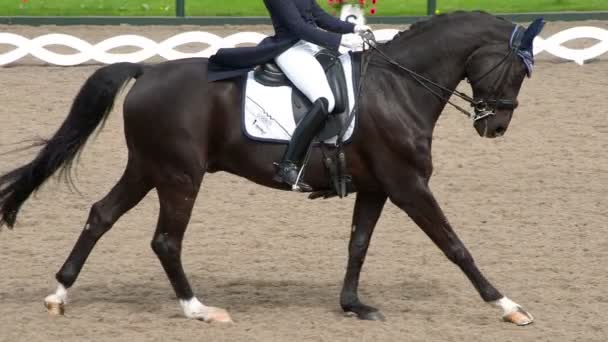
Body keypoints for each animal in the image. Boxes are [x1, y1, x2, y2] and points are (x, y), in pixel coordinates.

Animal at [0, 11, 540, 326]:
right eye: (516, 68)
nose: (496, 126)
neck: (398, 87)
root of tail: (148, 70)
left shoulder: (377, 187)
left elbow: (358, 245)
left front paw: (353, 305)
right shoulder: (408, 185)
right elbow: (454, 245)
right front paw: (507, 305)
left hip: (148, 168)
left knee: (101, 215)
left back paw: (59, 294)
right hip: (179, 176)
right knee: (165, 240)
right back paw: (198, 309)